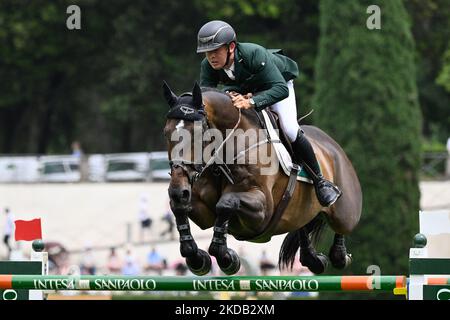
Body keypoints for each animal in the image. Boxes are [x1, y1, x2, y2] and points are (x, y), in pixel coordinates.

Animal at [162, 82, 362, 276]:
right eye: (166, 132)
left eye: (197, 134)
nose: (179, 190)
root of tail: (334, 146)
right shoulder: (205, 213)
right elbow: (179, 207)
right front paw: (196, 257)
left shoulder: (263, 210)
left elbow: (226, 202)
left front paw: (226, 257)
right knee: (303, 226)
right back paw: (313, 258)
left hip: (345, 212)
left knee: (343, 226)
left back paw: (339, 252)